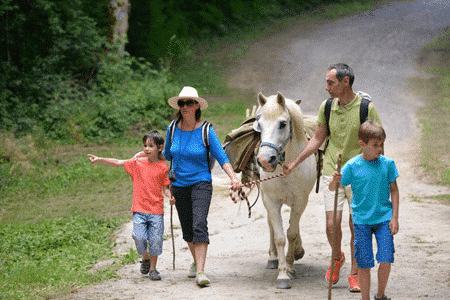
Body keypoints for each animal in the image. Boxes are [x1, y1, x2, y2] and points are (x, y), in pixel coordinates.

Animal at [253, 91, 316, 288]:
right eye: (259, 124)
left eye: (282, 124)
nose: (265, 160)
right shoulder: (272, 201)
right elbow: (280, 236)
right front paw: (282, 275)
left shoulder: (301, 201)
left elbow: (292, 233)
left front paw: (290, 266)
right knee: (271, 226)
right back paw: (273, 259)